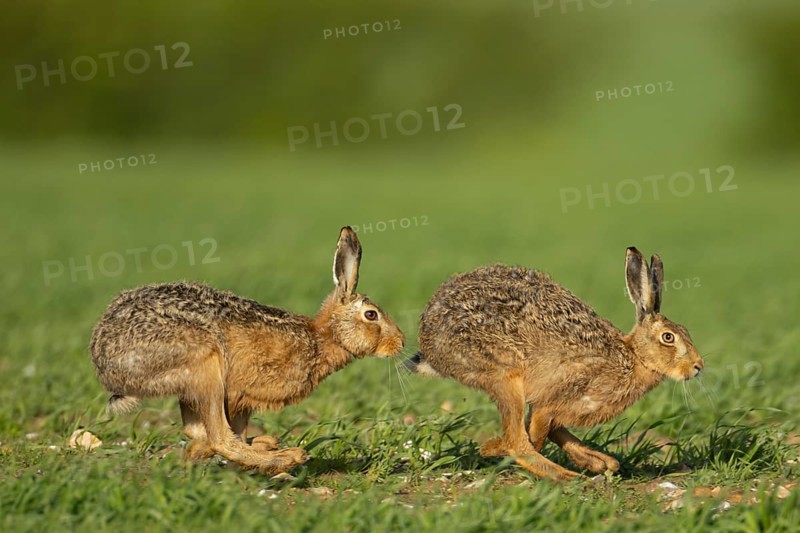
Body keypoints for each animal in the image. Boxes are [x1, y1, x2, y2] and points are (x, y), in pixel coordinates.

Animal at [90, 226, 405, 475]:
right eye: (372, 315)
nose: (400, 342)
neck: (322, 337)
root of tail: (105, 362)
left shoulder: (242, 403)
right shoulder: (238, 392)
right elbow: (227, 435)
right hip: (205, 365)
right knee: (220, 438)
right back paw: (287, 457)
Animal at [405, 247, 703, 481]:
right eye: (668, 337)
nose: (698, 366)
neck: (633, 357)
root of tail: (429, 340)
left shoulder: (557, 410)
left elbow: (556, 432)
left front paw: (599, 461)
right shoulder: (556, 396)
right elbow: (536, 434)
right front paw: (493, 448)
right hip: (504, 377)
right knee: (518, 442)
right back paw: (558, 473)